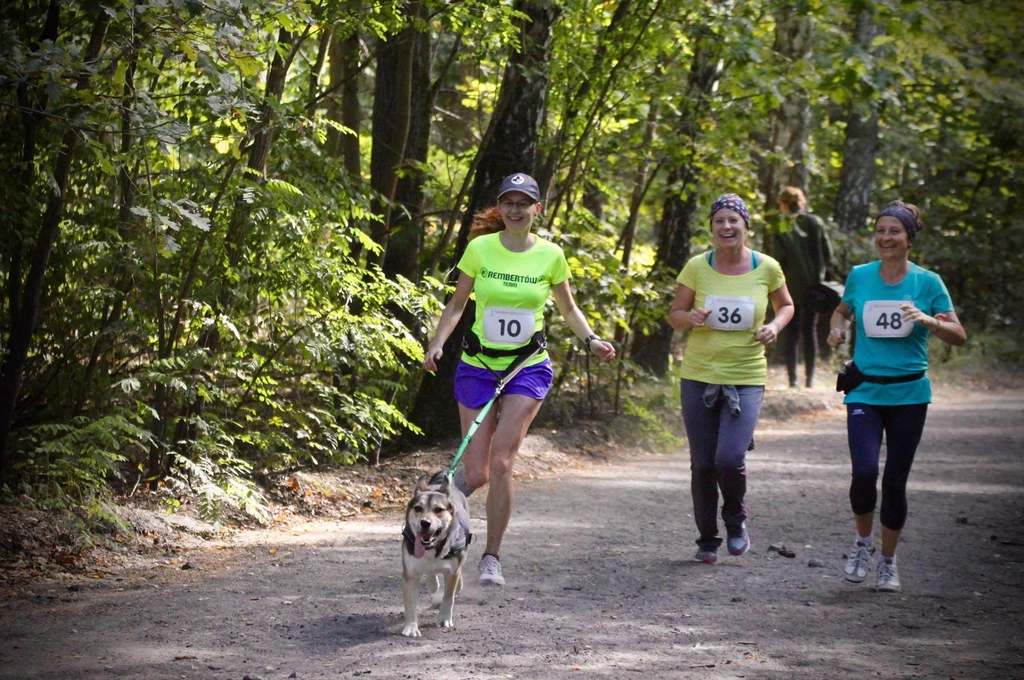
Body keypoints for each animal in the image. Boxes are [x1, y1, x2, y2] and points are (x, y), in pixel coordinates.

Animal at [399, 466, 471, 639]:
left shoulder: (452, 572)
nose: (425, 523)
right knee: (431, 574)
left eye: (438, 510)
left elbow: (448, 597)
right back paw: (433, 584)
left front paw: (444, 619)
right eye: (418, 508)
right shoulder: (410, 574)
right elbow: (410, 603)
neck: (431, 547)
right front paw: (411, 627)